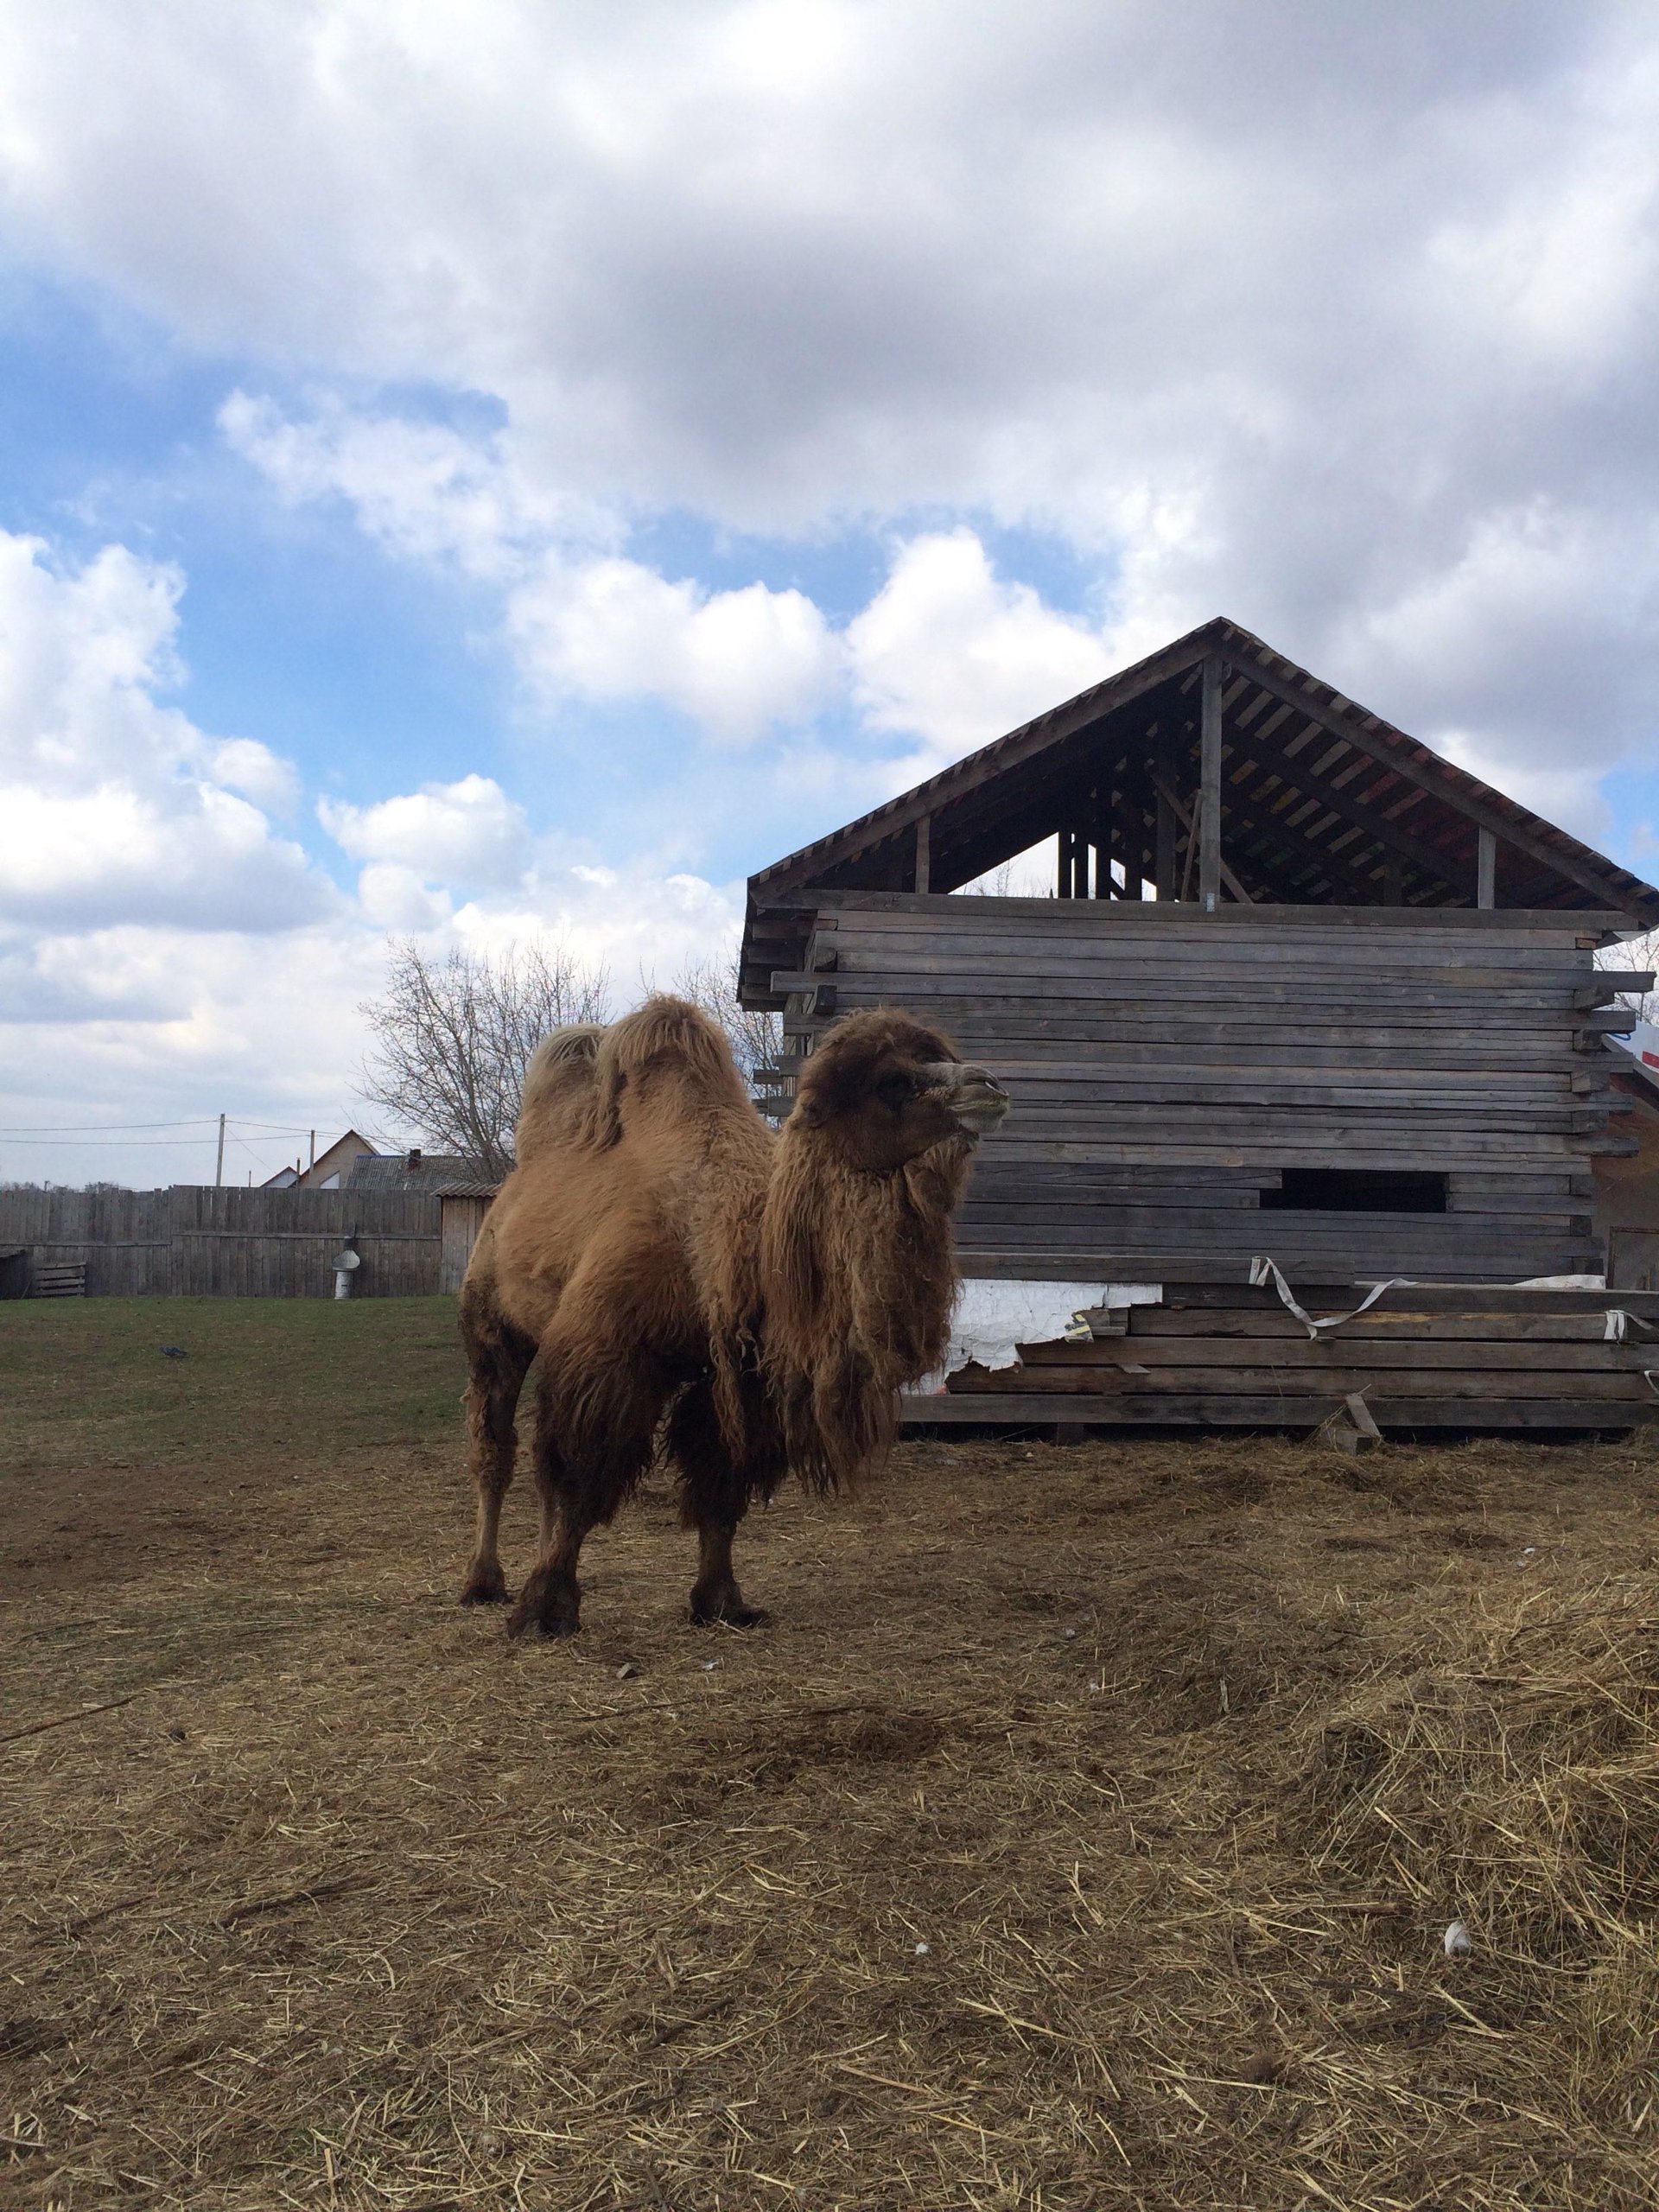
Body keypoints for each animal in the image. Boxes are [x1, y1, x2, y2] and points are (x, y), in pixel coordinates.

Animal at [455, 995, 1008, 1637]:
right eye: (892, 1080)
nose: (988, 1085)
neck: (732, 1235)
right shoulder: (608, 1353)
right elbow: (579, 1474)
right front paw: (544, 1610)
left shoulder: (736, 1372)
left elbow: (720, 1482)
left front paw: (722, 1602)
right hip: (492, 1325)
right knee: (496, 1448)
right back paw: (482, 1583)